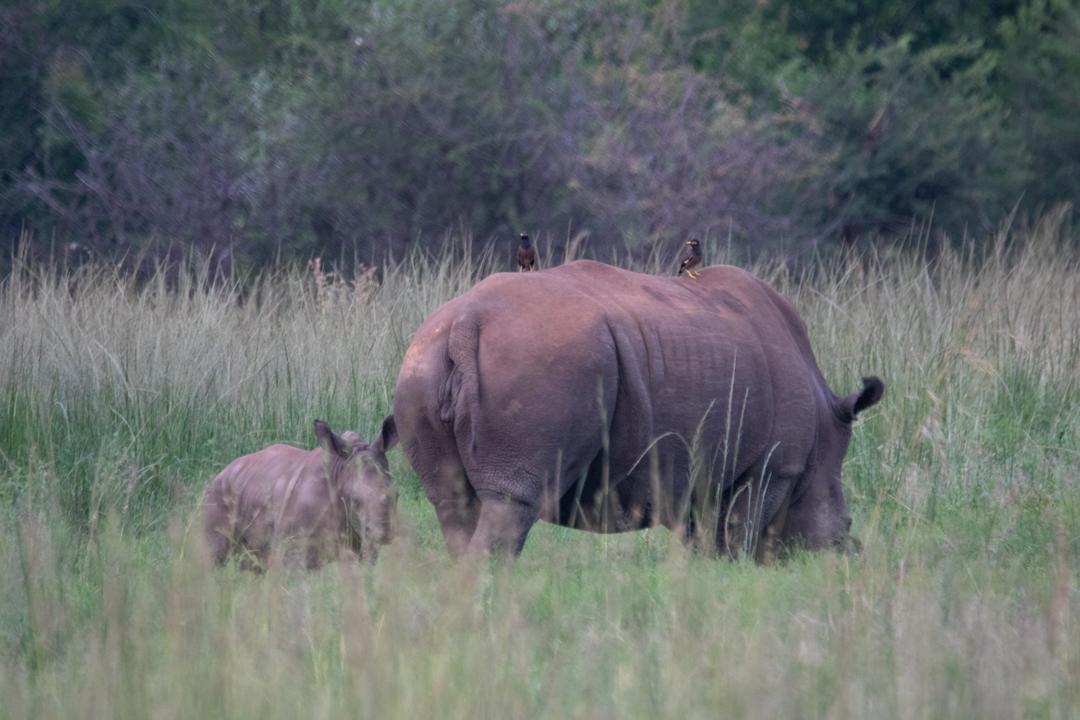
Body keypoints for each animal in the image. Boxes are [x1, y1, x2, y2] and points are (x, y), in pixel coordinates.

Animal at [204, 418, 399, 569]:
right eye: (355, 500)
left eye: (396, 496)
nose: (384, 535)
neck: (339, 472)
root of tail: (224, 471)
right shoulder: (291, 545)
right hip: (218, 493)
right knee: (215, 558)